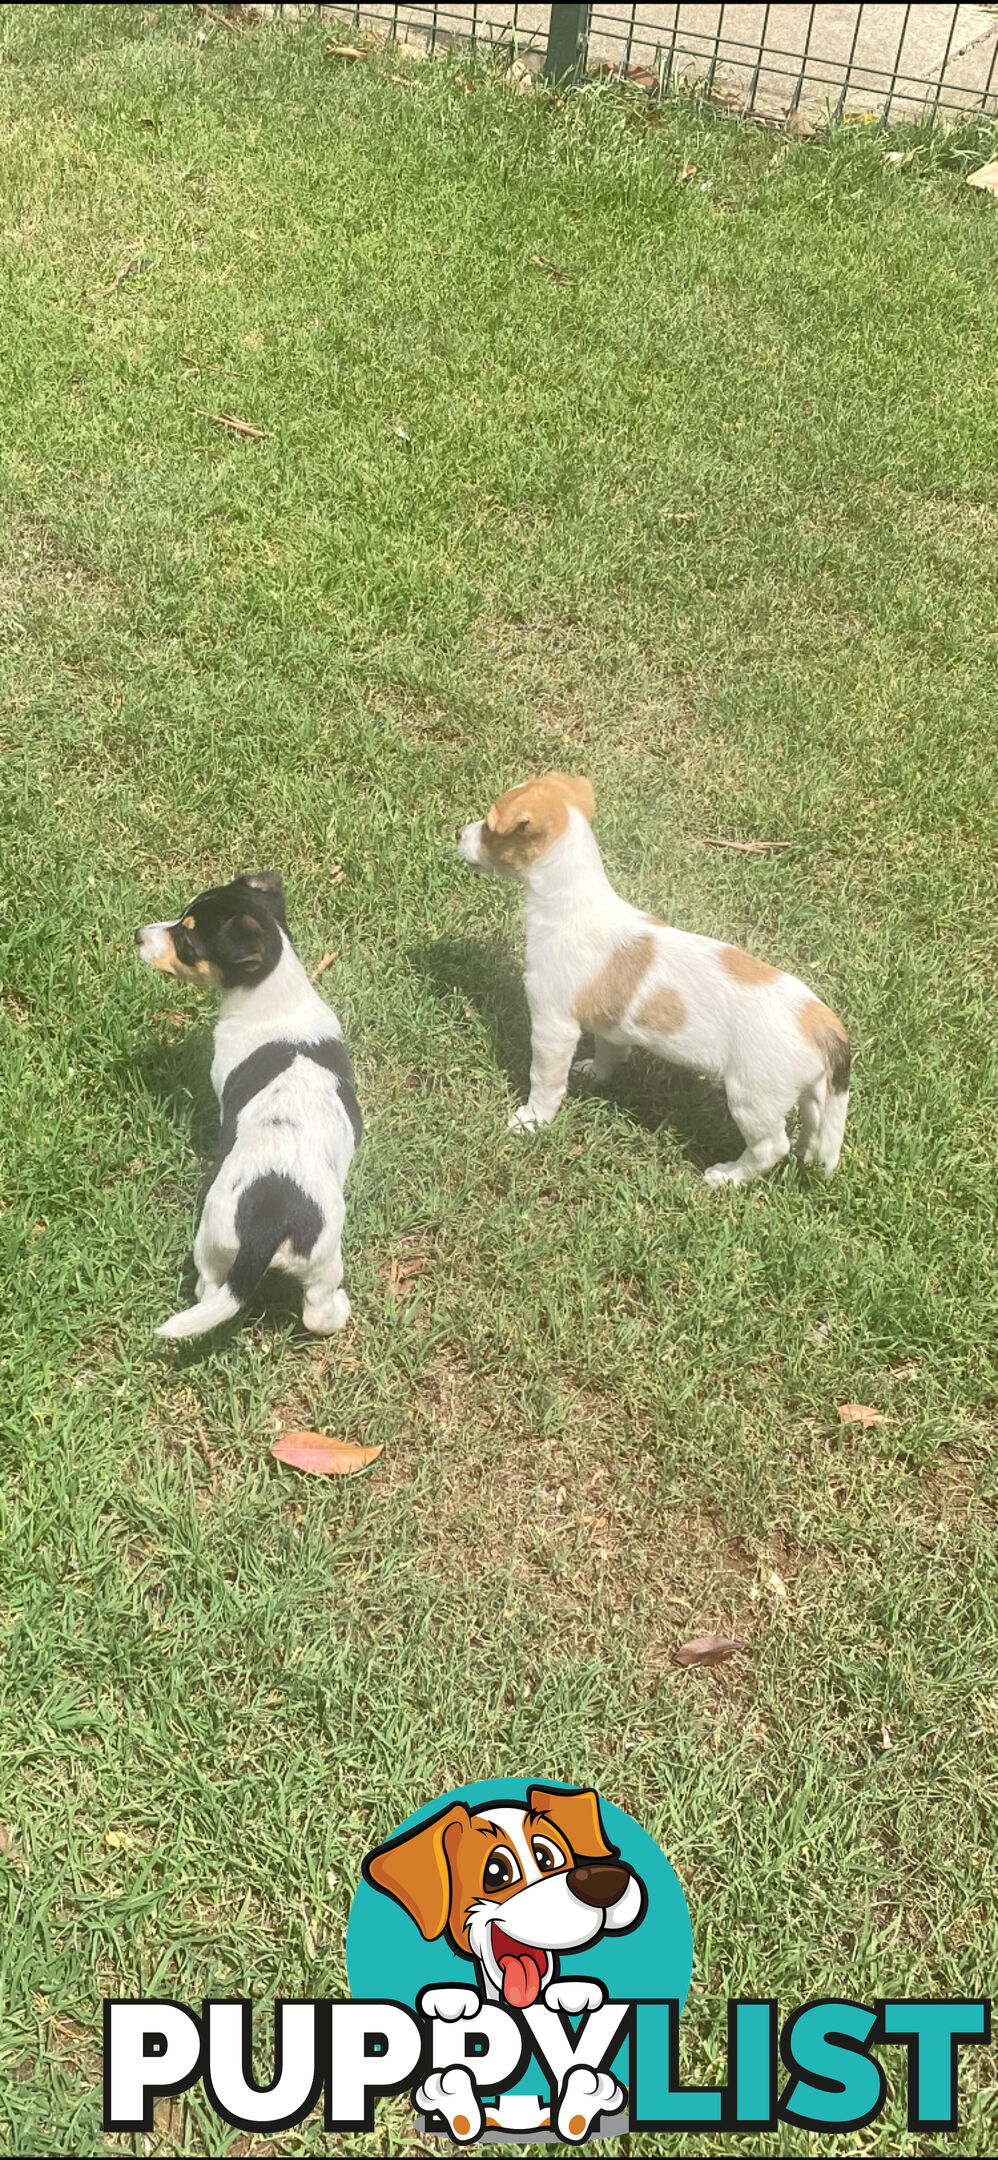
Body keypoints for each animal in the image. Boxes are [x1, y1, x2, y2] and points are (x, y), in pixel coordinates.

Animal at [134, 868, 360, 1339]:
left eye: (187, 941)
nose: (137, 935)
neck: (276, 995)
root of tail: (266, 1228)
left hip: (211, 1243)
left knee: (208, 1290)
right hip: (320, 1259)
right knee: (315, 1313)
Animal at [460, 773, 851, 1183]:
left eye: (489, 827)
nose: (457, 833)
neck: (572, 904)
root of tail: (821, 1021)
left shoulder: (553, 1026)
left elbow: (544, 1080)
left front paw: (532, 1121)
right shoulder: (610, 1023)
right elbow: (609, 1052)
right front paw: (595, 1073)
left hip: (753, 1097)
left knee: (771, 1147)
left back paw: (727, 1176)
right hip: (809, 1090)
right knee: (815, 1122)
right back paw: (808, 1156)